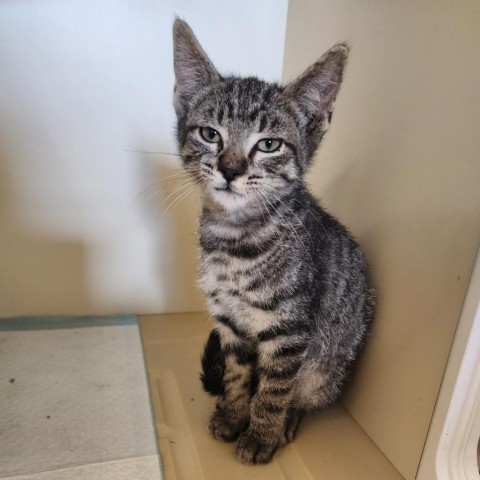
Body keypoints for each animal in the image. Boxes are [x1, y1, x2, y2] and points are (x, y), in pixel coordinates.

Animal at [172, 19, 376, 464]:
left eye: (268, 144)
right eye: (210, 134)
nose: (230, 169)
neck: (235, 239)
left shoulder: (289, 329)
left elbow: (275, 389)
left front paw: (261, 434)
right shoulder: (229, 322)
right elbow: (236, 376)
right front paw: (233, 415)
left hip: (328, 366)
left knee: (303, 391)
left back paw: (288, 421)